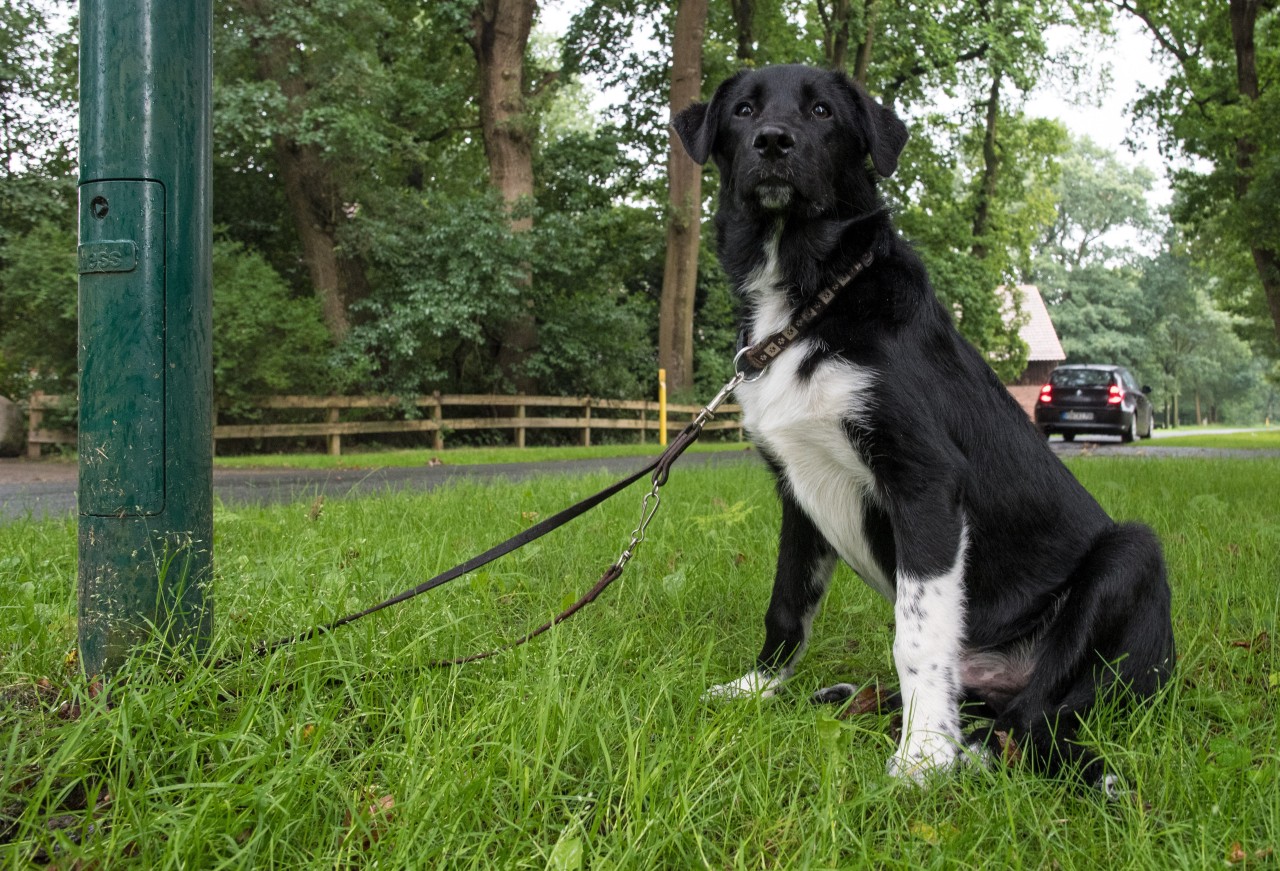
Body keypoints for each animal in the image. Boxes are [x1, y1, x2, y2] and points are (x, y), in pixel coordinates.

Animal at [675, 66, 1172, 789]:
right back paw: (851, 698)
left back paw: (972, 747)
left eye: (822, 112)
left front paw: (925, 755)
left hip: (1132, 555)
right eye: (743, 110)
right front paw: (756, 689)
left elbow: (917, 634)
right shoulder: (798, 492)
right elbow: (787, 605)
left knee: (1035, 714)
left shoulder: (924, 479)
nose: (772, 142)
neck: (808, 295)